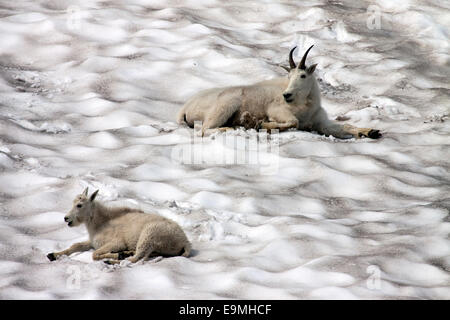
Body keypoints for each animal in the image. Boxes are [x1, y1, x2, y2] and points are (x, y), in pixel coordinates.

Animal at [46, 189, 191, 264]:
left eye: (79, 205)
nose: (66, 218)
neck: (99, 223)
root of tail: (185, 242)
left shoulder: (116, 242)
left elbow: (94, 254)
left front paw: (116, 255)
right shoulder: (93, 241)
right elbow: (75, 246)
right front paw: (52, 255)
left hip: (149, 235)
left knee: (136, 258)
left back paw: (117, 259)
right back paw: (126, 253)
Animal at [178, 45, 382, 139]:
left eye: (302, 75)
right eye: (289, 75)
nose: (287, 95)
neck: (306, 105)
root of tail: (185, 108)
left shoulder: (320, 123)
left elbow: (346, 126)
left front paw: (372, 131)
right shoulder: (277, 110)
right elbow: (293, 122)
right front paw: (262, 123)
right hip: (226, 104)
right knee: (205, 129)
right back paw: (240, 124)